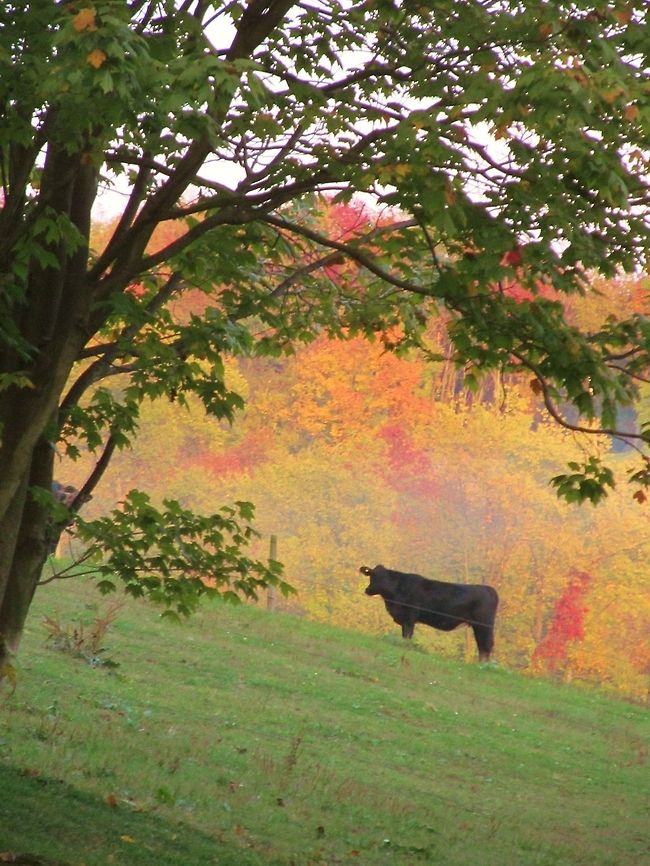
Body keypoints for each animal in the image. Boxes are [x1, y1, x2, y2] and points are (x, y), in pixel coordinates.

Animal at [360, 564, 499, 661]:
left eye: (383, 578)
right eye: (371, 575)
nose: (367, 590)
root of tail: (490, 590)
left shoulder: (409, 617)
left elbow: (407, 636)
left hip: (484, 626)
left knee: (486, 645)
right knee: (482, 646)